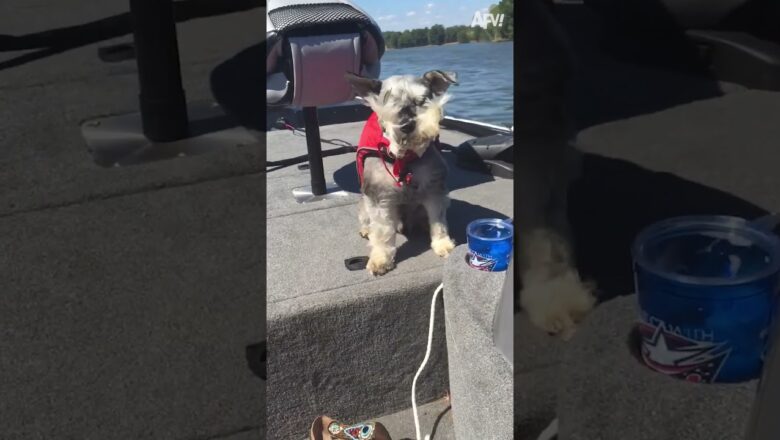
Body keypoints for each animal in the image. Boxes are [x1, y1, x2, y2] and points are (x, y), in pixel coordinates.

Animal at [342, 69, 458, 276]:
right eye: (386, 100)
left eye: (422, 100)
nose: (406, 125)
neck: (405, 157)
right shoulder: (379, 198)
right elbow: (383, 231)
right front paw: (380, 259)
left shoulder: (434, 190)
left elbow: (438, 222)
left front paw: (443, 244)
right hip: (364, 204)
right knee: (367, 220)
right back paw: (366, 230)